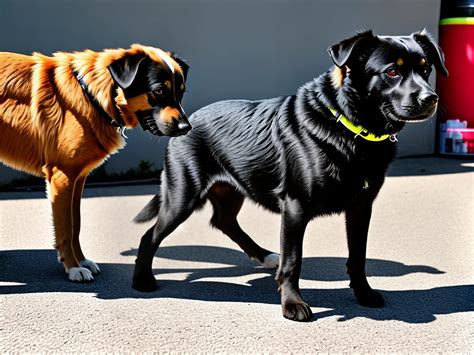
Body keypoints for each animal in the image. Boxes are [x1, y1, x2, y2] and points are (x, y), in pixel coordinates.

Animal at [0, 44, 189, 282]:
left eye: (181, 92)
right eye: (159, 91)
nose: (187, 128)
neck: (91, 95)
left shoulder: (77, 179)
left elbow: (76, 226)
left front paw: (81, 261)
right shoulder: (62, 177)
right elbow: (66, 228)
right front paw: (73, 268)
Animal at [132, 31, 448, 322]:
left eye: (425, 69)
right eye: (392, 71)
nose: (430, 98)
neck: (348, 125)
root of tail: (185, 120)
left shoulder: (361, 206)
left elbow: (358, 256)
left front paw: (364, 293)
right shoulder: (295, 206)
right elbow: (294, 260)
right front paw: (292, 304)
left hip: (231, 189)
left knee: (224, 221)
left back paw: (264, 256)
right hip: (182, 195)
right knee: (150, 235)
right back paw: (142, 279)